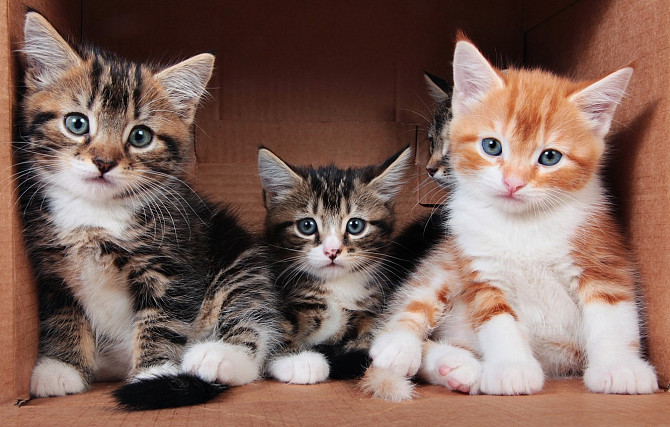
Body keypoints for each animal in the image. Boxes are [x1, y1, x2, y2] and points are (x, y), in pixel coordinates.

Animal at [18, 11, 280, 410]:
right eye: (77, 123)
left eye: (140, 136)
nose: (103, 162)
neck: (95, 214)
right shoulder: (49, 266)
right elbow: (62, 313)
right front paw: (60, 369)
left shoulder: (174, 263)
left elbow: (162, 321)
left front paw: (153, 375)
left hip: (239, 257)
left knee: (252, 312)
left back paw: (217, 357)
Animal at [260, 147, 428, 384]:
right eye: (307, 225)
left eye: (355, 225)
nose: (332, 251)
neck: (334, 288)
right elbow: (269, 322)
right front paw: (298, 360)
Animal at [362, 37, 660, 402]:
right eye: (492, 146)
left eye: (550, 157)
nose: (513, 182)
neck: (522, 224)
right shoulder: (480, 267)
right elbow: (498, 319)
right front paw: (511, 371)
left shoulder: (603, 253)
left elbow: (613, 312)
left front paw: (620, 369)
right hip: (445, 260)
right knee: (417, 294)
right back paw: (401, 347)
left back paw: (460, 368)